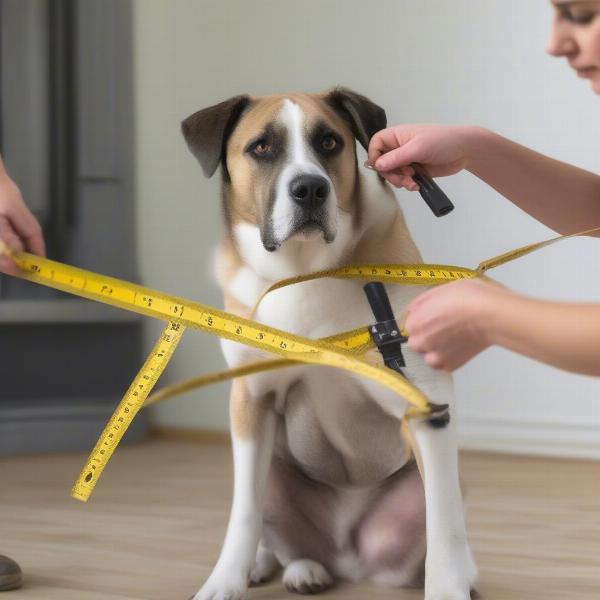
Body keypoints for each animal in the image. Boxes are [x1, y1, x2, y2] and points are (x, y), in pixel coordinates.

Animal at [180, 85, 476, 600]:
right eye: (261, 147)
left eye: (329, 142)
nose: (310, 188)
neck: (303, 270)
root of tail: (345, 555)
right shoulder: (250, 400)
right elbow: (243, 514)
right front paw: (225, 580)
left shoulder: (427, 407)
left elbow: (444, 525)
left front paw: (448, 588)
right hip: (273, 467)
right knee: (269, 520)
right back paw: (293, 567)